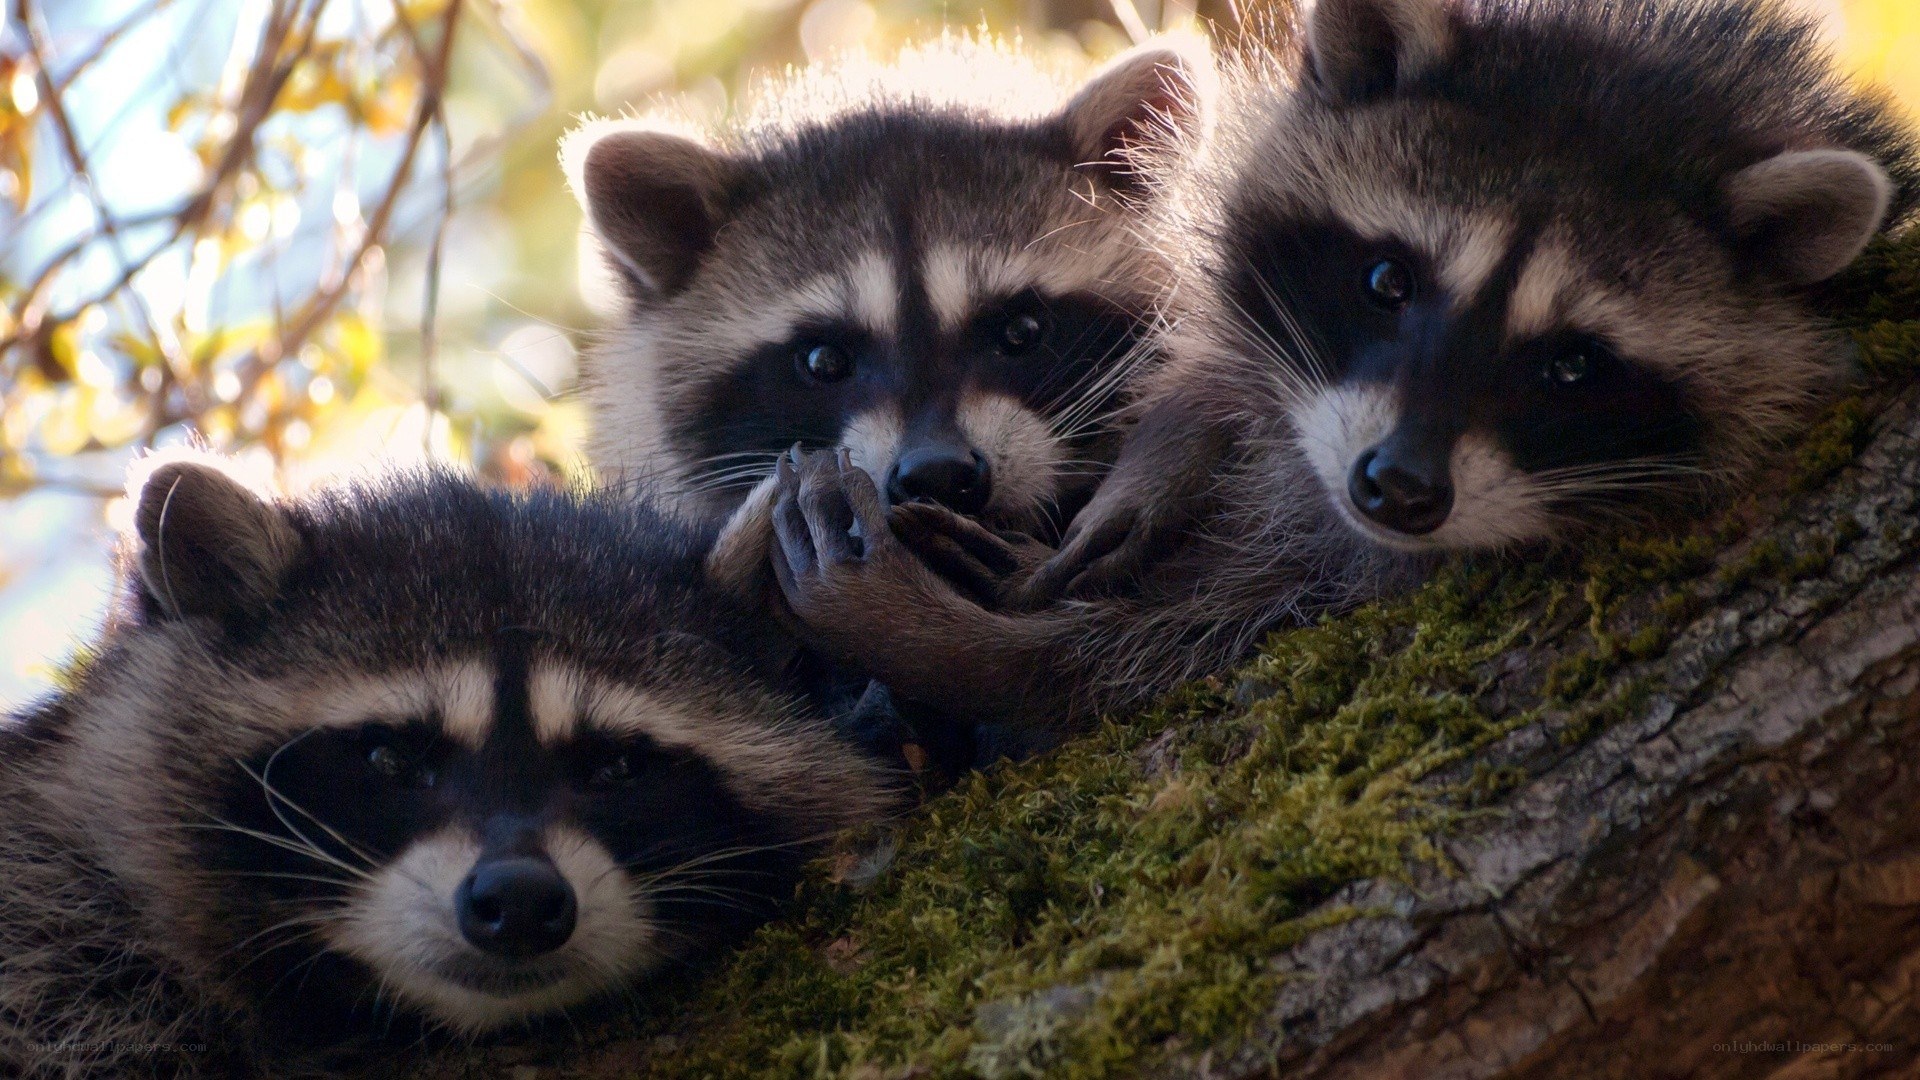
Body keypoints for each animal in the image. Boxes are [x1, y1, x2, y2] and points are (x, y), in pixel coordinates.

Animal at [755, 0, 1919, 736]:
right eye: (1387, 279)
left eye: (1573, 366)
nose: (1396, 488)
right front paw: (1170, 445)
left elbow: (1154, 653)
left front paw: (963, 648)